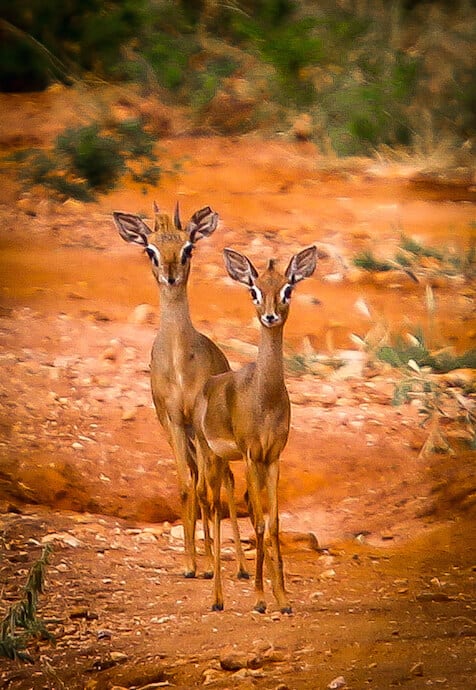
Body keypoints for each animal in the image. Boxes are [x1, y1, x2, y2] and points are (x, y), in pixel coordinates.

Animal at [113, 202, 247, 576]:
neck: (179, 364)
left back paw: (238, 565)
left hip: (212, 440)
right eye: (150, 249)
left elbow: (204, 489)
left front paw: (205, 563)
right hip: (189, 437)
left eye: (188, 247)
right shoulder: (173, 421)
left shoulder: (198, 427)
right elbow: (187, 486)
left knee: (224, 481)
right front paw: (190, 563)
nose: (171, 275)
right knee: (206, 481)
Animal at [195, 245, 318, 612]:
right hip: (209, 456)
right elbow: (261, 523)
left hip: (227, 462)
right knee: (210, 504)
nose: (270, 317)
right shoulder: (252, 455)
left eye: (287, 288)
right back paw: (217, 596)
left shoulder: (273, 457)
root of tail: (207, 386)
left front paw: (283, 598)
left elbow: (272, 523)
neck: (265, 398)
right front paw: (262, 599)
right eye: (254, 290)